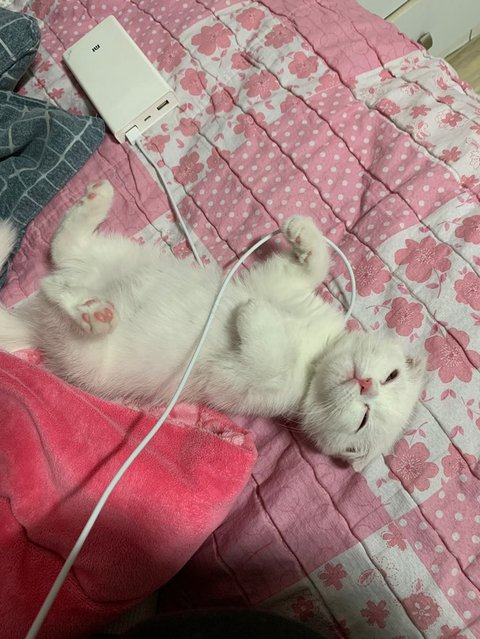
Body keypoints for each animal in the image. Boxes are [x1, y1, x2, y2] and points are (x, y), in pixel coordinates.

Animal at [0, 180, 425, 470]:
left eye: (363, 420)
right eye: (392, 375)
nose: (366, 384)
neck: (315, 355)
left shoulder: (249, 383)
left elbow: (266, 354)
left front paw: (253, 312)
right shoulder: (283, 285)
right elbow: (312, 267)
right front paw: (303, 233)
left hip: (86, 361)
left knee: (61, 293)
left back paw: (89, 310)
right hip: (116, 253)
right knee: (64, 246)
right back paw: (95, 202)